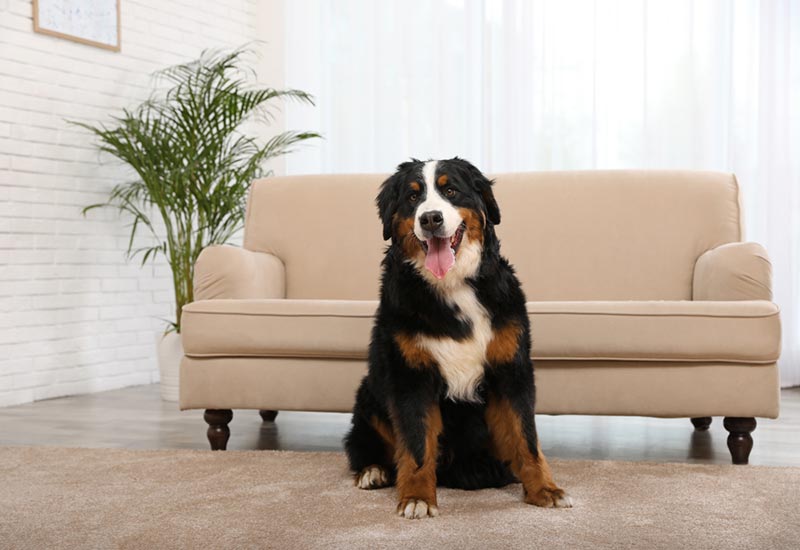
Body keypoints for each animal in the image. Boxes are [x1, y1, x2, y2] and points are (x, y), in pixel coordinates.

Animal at [342, 157, 568, 520]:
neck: (453, 286)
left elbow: (526, 438)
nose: (430, 218)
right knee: (365, 448)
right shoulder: (410, 375)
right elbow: (417, 444)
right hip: (369, 396)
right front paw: (417, 497)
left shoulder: (512, 369)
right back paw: (373, 471)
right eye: (413, 197)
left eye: (450, 191)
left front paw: (544, 489)